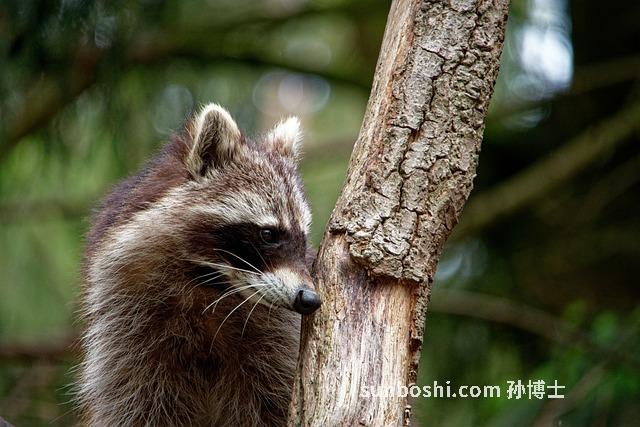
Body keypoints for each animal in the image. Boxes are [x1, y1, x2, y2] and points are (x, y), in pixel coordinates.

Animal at [79, 104, 321, 426]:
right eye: (268, 234)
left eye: (303, 238)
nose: (310, 298)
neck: (210, 286)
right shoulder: (126, 329)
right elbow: (134, 404)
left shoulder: (276, 339)